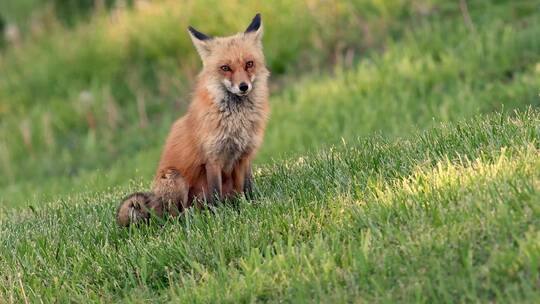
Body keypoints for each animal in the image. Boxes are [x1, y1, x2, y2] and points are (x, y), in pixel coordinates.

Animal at [117, 13, 270, 226]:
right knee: (173, 216)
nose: (243, 86)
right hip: (175, 179)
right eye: (225, 68)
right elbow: (215, 194)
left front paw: (252, 205)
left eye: (249, 64)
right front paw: (218, 215)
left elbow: (247, 188)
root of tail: (155, 204)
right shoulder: (212, 158)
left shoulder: (246, 154)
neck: (236, 121)